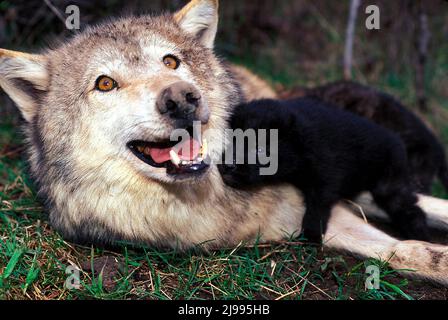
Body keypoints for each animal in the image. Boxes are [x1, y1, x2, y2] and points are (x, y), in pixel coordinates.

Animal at [220, 97, 430, 242]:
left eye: (260, 149)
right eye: (232, 140)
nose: (228, 165)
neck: (302, 143)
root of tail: (398, 142)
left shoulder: (325, 180)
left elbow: (317, 207)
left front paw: (312, 235)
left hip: (388, 185)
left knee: (411, 208)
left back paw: (419, 233)